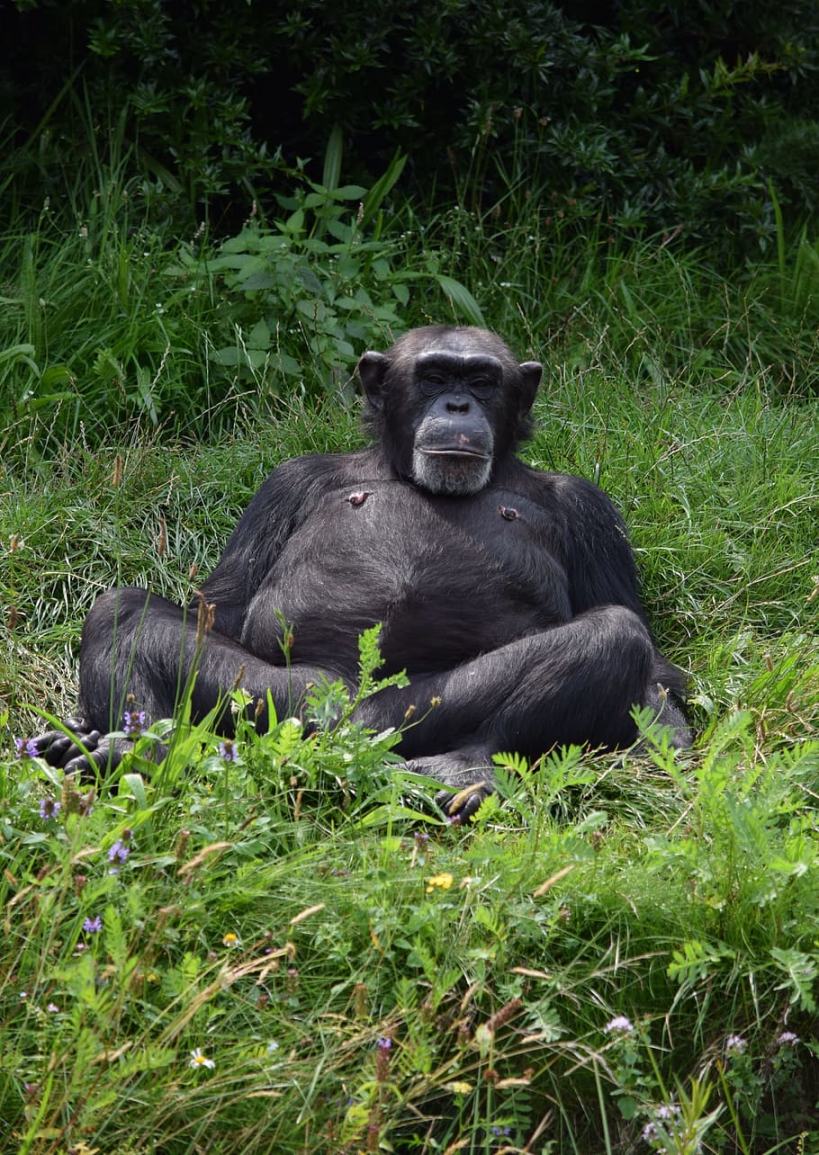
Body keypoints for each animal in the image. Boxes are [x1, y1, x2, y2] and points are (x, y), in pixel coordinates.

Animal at [38, 325, 688, 822]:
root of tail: (351, 736)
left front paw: (668, 733)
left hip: (416, 715)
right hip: (287, 704)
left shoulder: (587, 509)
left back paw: (463, 770)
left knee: (611, 634)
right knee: (124, 612)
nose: (458, 406)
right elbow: (220, 611)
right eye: (434, 377)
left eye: (481, 381)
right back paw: (128, 747)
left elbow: (653, 664)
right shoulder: (287, 484)